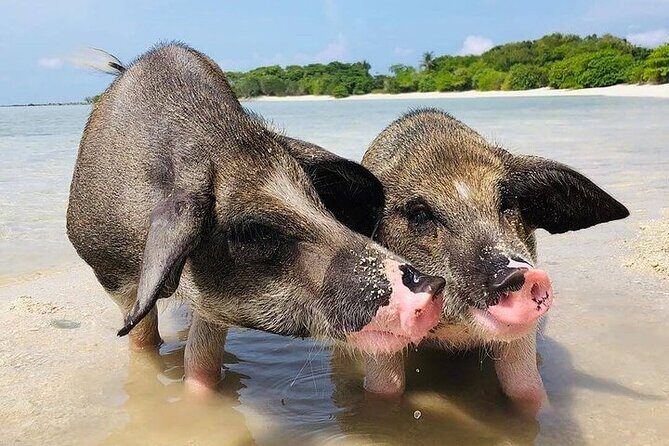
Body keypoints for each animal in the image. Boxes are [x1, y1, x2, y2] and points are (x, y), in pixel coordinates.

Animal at [66, 44, 447, 391]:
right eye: (252, 232)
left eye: (317, 199)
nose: (431, 284)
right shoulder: (109, 274)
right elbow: (142, 337)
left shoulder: (214, 304)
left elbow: (200, 359)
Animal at [357, 109, 629, 412]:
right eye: (419, 215)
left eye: (507, 203)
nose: (516, 272)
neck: (453, 333)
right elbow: (384, 387)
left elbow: (525, 387)